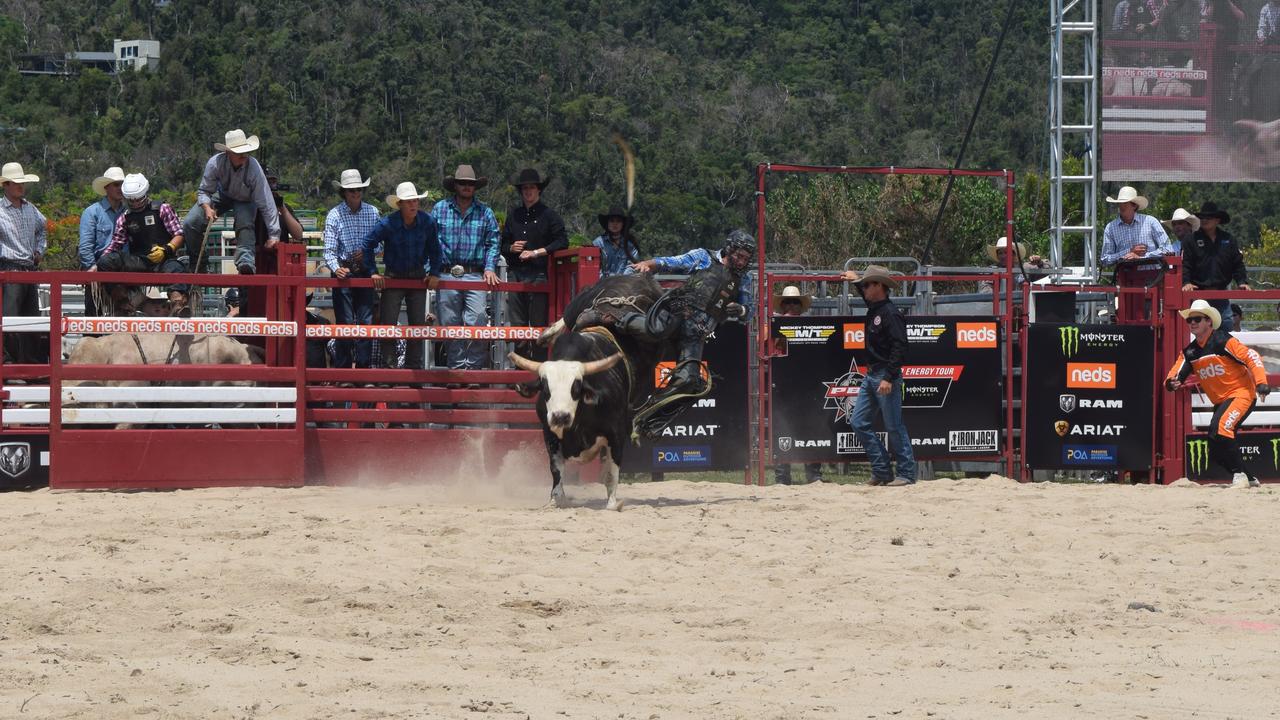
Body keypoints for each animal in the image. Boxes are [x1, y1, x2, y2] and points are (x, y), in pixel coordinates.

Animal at [512, 271, 670, 507]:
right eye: (546, 388)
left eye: (576, 387)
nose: (560, 416)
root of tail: (639, 275)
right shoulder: (549, 434)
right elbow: (556, 470)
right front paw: (556, 500)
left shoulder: (617, 434)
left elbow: (612, 472)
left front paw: (612, 503)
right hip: (581, 300)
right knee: (568, 316)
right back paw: (547, 334)